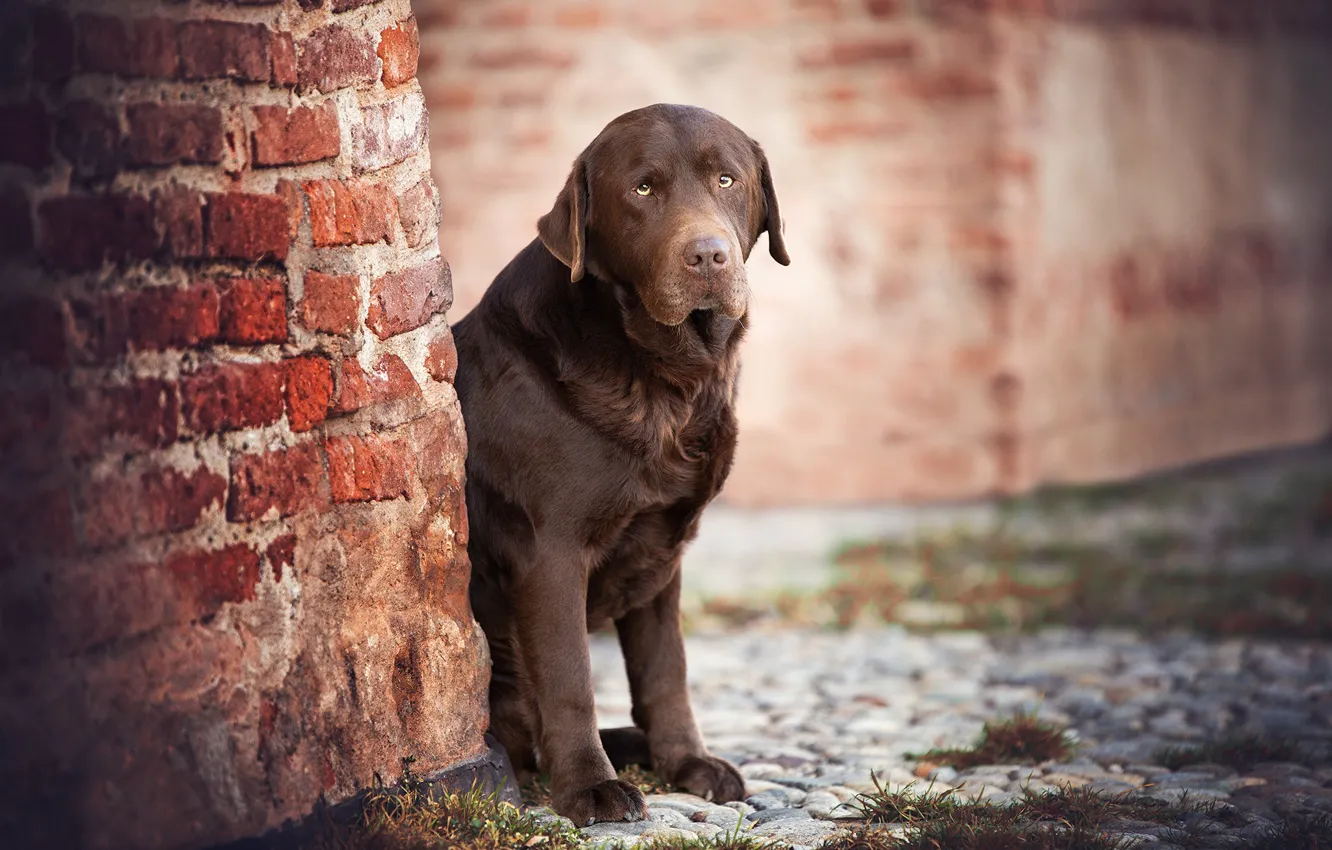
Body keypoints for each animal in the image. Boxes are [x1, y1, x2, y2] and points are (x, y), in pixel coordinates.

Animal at [452, 103, 783, 831]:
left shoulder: (662, 549)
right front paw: (590, 788)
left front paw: (687, 764)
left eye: (726, 179)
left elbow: (666, 671)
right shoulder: (549, 554)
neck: (666, 379)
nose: (708, 255)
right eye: (643, 189)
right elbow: (570, 678)